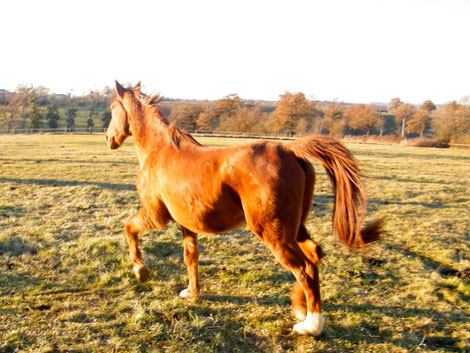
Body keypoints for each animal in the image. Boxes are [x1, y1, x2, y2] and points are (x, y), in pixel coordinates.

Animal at [103, 80, 382, 336]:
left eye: (113, 107)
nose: (108, 138)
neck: (160, 151)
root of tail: (290, 150)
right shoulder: (186, 224)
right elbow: (190, 257)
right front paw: (192, 292)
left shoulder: (155, 216)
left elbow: (129, 229)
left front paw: (141, 271)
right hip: (295, 228)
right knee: (314, 255)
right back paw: (299, 307)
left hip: (273, 233)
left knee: (304, 269)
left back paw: (310, 325)